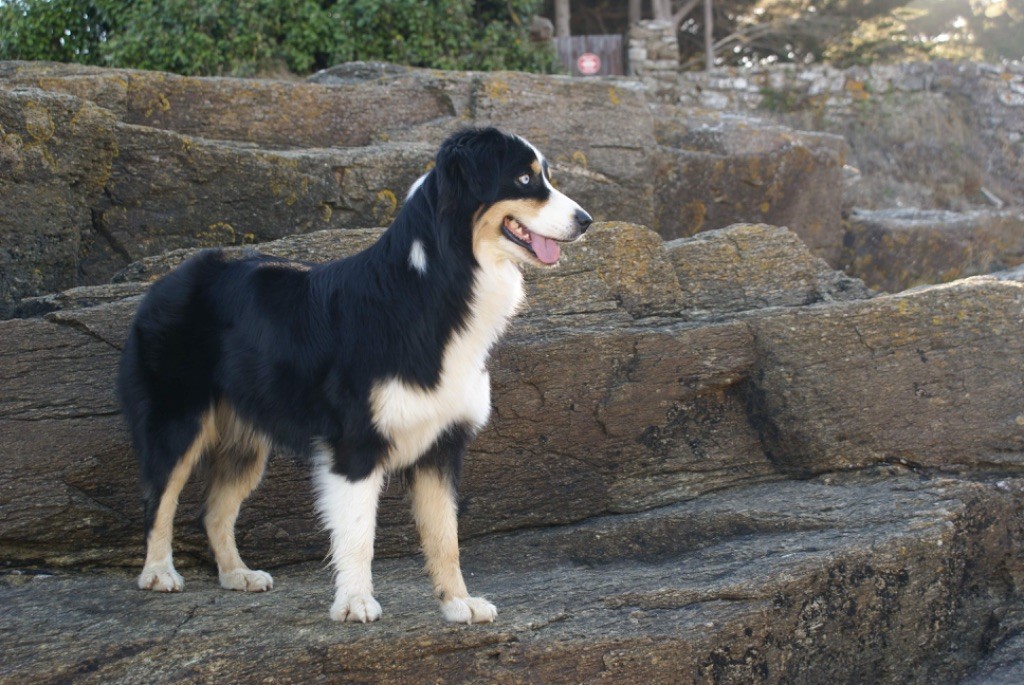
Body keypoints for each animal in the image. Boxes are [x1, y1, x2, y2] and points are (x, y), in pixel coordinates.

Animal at [116, 125, 593, 622]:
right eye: (524, 179)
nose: (587, 220)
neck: (439, 284)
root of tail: (165, 281)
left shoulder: (440, 446)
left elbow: (446, 537)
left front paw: (458, 603)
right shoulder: (355, 444)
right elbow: (360, 533)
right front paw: (355, 601)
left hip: (246, 440)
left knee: (213, 511)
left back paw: (236, 575)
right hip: (177, 422)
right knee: (158, 498)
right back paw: (158, 573)